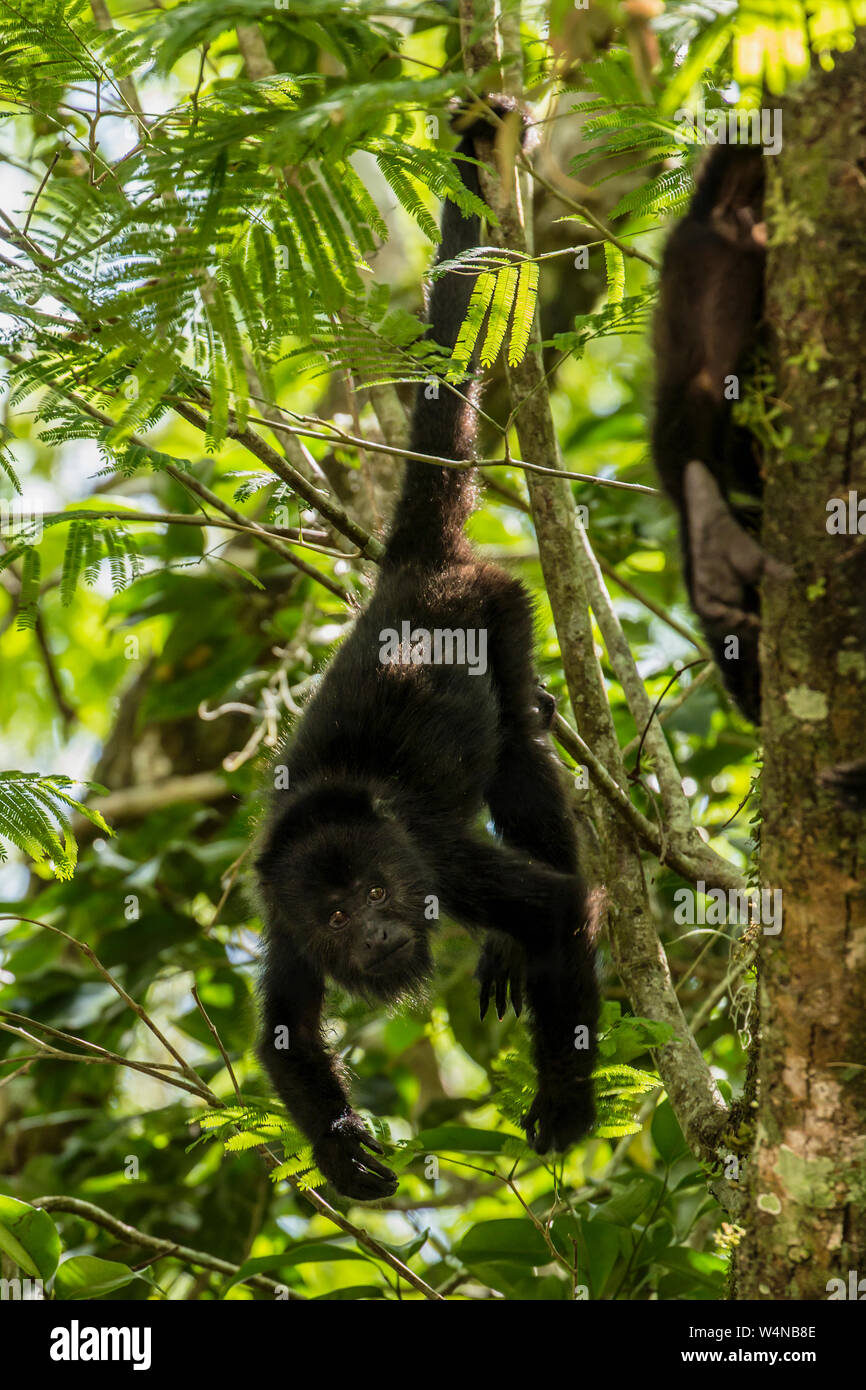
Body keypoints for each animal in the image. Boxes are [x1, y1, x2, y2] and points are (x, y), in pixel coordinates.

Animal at [254, 102, 600, 1200]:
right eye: (332, 915)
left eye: (376, 888)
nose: (371, 933)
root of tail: (407, 575)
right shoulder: (278, 914)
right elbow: (284, 1032)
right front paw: (343, 1152)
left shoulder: (434, 860)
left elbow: (564, 909)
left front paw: (565, 1103)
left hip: (495, 604)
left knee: (520, 760)